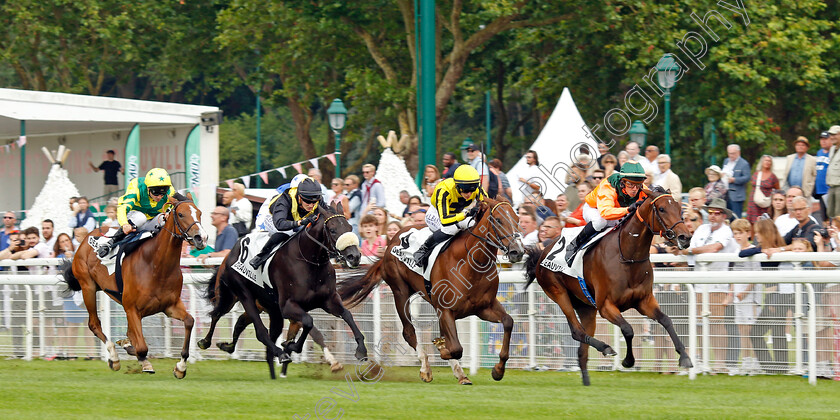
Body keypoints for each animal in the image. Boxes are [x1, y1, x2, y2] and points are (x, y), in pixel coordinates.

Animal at [60, 194, 207, 378]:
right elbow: (142, 347)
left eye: (200, 213)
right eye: (181, 214)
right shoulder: (132, 308)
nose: (201, 238)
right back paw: (114, 357)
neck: (156, 265)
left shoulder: (170, 305)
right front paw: (144, 362)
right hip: (88, 286)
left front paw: (180, 367)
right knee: (94, 324)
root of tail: (86, 238)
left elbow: (189, 321)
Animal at [206, 202, 364, 378]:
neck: (309, 261)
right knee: (233, 320)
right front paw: (291, 347)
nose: (354, 256)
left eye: (350, 227)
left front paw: (361, 350)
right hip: (239, 294)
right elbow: (309, 322)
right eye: (333, 229)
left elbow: (347, 315)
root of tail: (231, 252)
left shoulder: (329, 300)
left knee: (244, 325)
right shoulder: (288, 306)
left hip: (271, 309)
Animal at [338, 197, 520, 384]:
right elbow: (455, 348)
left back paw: (460, 373)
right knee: (409, 332)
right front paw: (442, 351)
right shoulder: (446, 310)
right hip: (400, 292)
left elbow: (508, 321)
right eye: (498, 220)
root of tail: (391, 243)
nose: (517, 251)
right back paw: (426, 368)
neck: (472, 264)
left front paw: (498, 370)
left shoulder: (483, 307)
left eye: (517, 219)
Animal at [524, 189, 696, 386]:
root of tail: (542, 252)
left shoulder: (644, 301)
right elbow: (628, 329)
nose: (685, 237)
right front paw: (628, 360)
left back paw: (586, 380)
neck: (627, 256)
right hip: (558, 293)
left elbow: (666, 320)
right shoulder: (606, 306)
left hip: (586, 307)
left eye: (678, 207)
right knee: (576, 331)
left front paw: (684, 357)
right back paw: (605, 347)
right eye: (661, 209)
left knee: (582, 346)